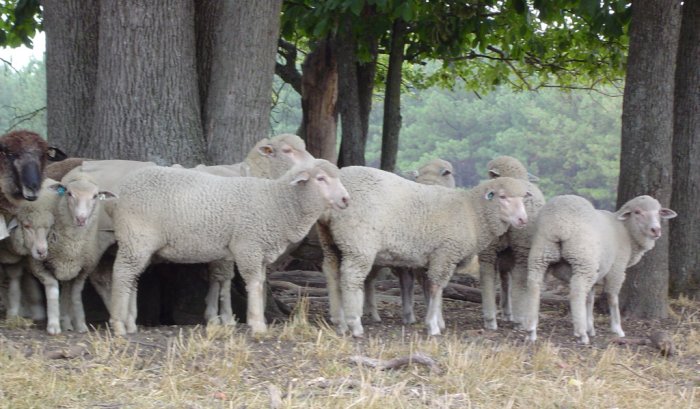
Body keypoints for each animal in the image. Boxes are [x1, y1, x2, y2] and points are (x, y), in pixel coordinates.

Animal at [108, 158, 349, 336]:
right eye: (321, 178)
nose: (346, 199)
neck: (277, 203)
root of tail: (123, 191)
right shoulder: (248, 246)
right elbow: (253, 284)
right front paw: (257, 324)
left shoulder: (260, 251)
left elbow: (261, 283)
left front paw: (258, 318)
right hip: (135, 238)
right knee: (121, 274)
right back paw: (118, 324)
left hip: (140, 245)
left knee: (132, 278)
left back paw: (130, 323)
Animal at [316, 166, 530, 337]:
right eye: (502, 197)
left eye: (523, 199)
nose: (523, 220)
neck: (472, 213)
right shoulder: (445, 252)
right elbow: (436, 287)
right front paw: (433, 326)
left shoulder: (432, 257)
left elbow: (432, 289)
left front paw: (438, 321)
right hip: (359, 242)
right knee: (351, 278)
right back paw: (354, 324)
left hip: (332, 242)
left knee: (332, 274)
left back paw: (339, 322)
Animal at [479, 156, 546, 330]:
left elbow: (504, 279)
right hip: (521, 245)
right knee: (519, 278)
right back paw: (518, 319)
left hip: (491, 247)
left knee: (488, 276)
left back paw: (491, 319)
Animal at [523, 194, 677, 344]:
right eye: (637, 212)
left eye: (659, 212)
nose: (656, 230)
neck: (626, 230)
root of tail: (558, 224)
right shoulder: (617, 268)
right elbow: (612, 297)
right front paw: (617, 329)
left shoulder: (597, 272)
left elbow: (590, 299)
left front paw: (591, 327)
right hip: (583, 258)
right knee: (577, 292)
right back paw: (581, 334)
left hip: (542, 253)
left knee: (534, 286)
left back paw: (532, 330)